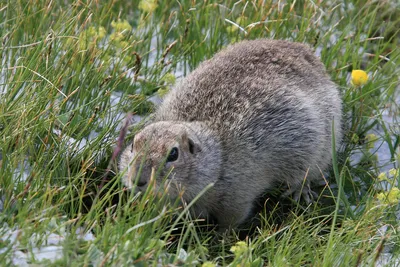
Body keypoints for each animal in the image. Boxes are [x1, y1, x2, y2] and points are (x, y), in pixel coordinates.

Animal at [119, 39, 344, 230]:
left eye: (173, 154)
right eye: (132, 145)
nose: (137, 180)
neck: (217, 159)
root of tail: (307, 53)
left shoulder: (237, 197)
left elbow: (232, 219)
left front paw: (222, 237)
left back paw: (300, 192)